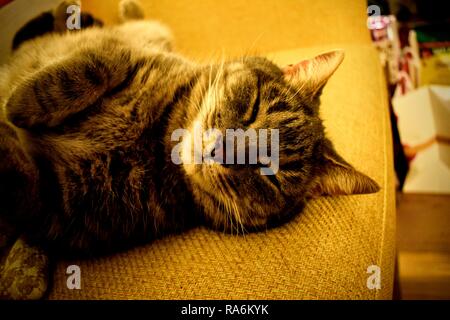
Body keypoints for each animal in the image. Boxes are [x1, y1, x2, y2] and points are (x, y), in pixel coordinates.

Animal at [0, 0, 378, 255]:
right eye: (253, 108)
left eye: (269, 175)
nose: (220, 150)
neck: (156, 140)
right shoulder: (132, 54)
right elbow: (100, 63)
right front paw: (23, 102)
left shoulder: (60, 209)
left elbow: (19, 177)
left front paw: (10, 118)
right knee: (139, 26)